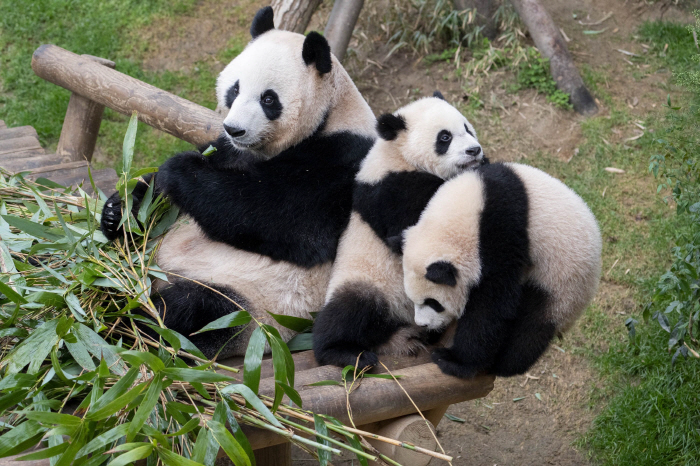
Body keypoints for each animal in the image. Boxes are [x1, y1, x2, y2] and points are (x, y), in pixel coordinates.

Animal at [100, 6, 378, 356]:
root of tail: (163, 274)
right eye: (234, 89)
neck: (332, 114)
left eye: (269, 99)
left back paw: (122, 311)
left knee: (191, 310)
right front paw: (118, 210)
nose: (235, 129)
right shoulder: (228, 151)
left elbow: (282, 219)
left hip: (253, 305)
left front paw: (178, 169)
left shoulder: (342, 162)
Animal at [314, 92, 486, 368]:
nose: (474, 150)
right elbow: (412, 222)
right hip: (365, 279)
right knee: (347, 312)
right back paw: (345, 352)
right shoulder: (387, 189)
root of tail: (392, 330)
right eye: (444, 137)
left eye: (467, 128)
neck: (400, 155)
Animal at [402, 164, 604, 378]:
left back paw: (504, 364)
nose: (423, 324)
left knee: (533, 324)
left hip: (562, 281)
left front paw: (454, 361)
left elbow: (492, 304)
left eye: (433, 303)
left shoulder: (502, 232)